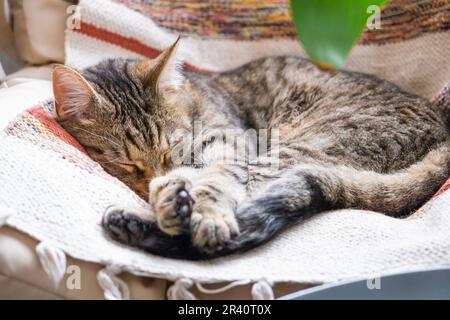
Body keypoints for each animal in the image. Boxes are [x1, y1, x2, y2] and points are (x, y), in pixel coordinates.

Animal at [52, 39, 450, 260]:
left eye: (170, 151)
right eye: (128, 165)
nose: (161, 175)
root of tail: (443, 134)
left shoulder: (230, 142)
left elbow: (213, 181)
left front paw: (199, 209)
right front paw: (171, 193)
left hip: (299, 147)